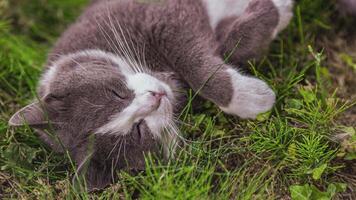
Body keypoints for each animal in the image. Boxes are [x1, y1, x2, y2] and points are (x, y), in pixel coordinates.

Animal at [8, 0, 294, 191]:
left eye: (117, 94)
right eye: (139, 130)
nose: (155, 97)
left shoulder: (160, 17)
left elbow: (194, 61)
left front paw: (252, 99)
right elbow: (230, 47)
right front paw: (256, 98)